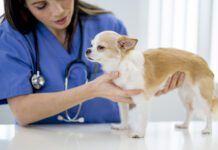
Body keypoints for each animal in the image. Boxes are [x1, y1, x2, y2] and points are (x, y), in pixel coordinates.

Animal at [85, 30, 218, 138]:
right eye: (91, 44)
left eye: (100, 47)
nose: (87, 50)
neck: (121, 66)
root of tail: (203, 61)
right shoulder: (122, 98)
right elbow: (124, 115)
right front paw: (122, 126)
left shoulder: (142, 100)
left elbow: (142, 119)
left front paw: (139, 134)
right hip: (184, 94)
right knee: (190, 110)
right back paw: (184, 125)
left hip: (202, 95)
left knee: (208, 112)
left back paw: (208, 129)